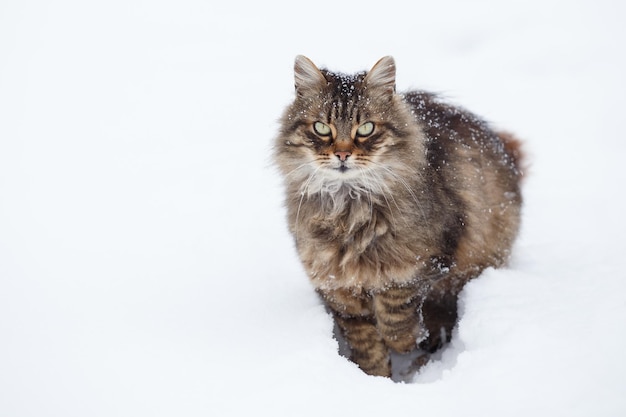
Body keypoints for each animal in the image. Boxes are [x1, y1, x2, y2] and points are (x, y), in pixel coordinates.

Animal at [272, 55, 520, 376]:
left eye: (366, 128)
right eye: (321, 128)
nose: (342, 155)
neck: (348, 208)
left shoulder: (426, 260)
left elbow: (394, 312)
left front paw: (407, 342)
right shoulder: (338, 287)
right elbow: (366, 344)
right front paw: (376, 378)